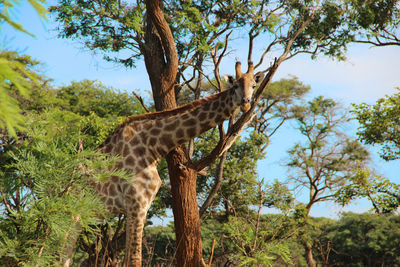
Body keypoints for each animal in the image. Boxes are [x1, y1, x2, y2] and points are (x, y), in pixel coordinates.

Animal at [70, 61, 262, 266]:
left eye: (253, 86)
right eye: (235, 86)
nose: (246, 103)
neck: (153, 148)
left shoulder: (141, 206)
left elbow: (130, 258)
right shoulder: (136, 203)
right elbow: (135, 259)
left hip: (79, 216)